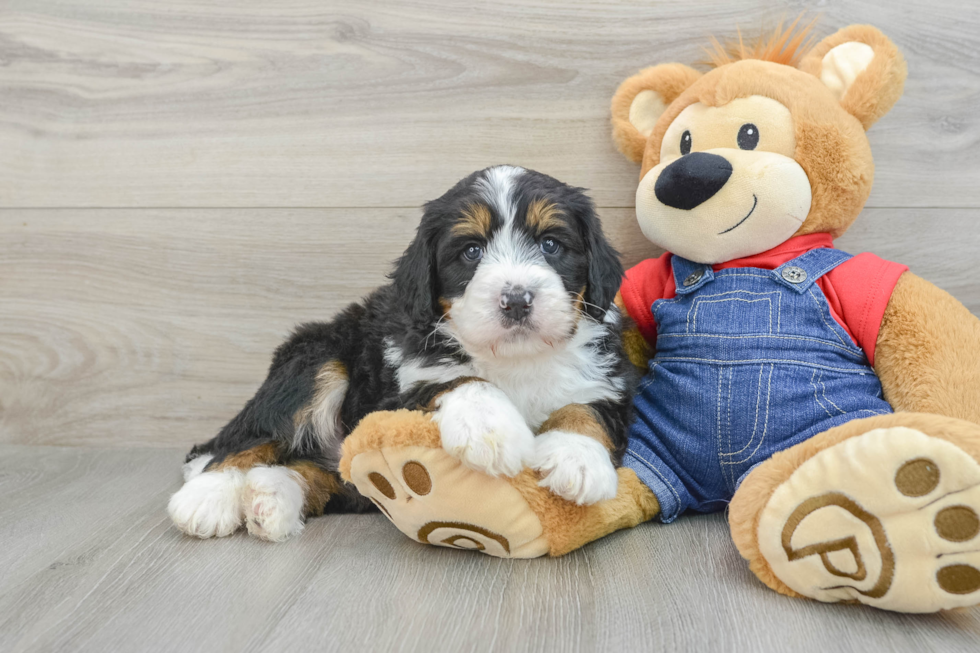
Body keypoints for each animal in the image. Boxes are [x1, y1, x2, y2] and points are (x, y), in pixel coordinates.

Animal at [168, 166, 636, 544]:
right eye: (471, 251)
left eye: (551, 245)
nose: (517, 299)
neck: (514, 359)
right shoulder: (400, 383)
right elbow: (460, 379)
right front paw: (491, 429)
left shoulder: (610, 379)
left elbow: (585, 408)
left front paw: (576, 458)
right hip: (316, 358)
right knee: (249, 437)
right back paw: (208, 495)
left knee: (325, 477)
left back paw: (271, 497)